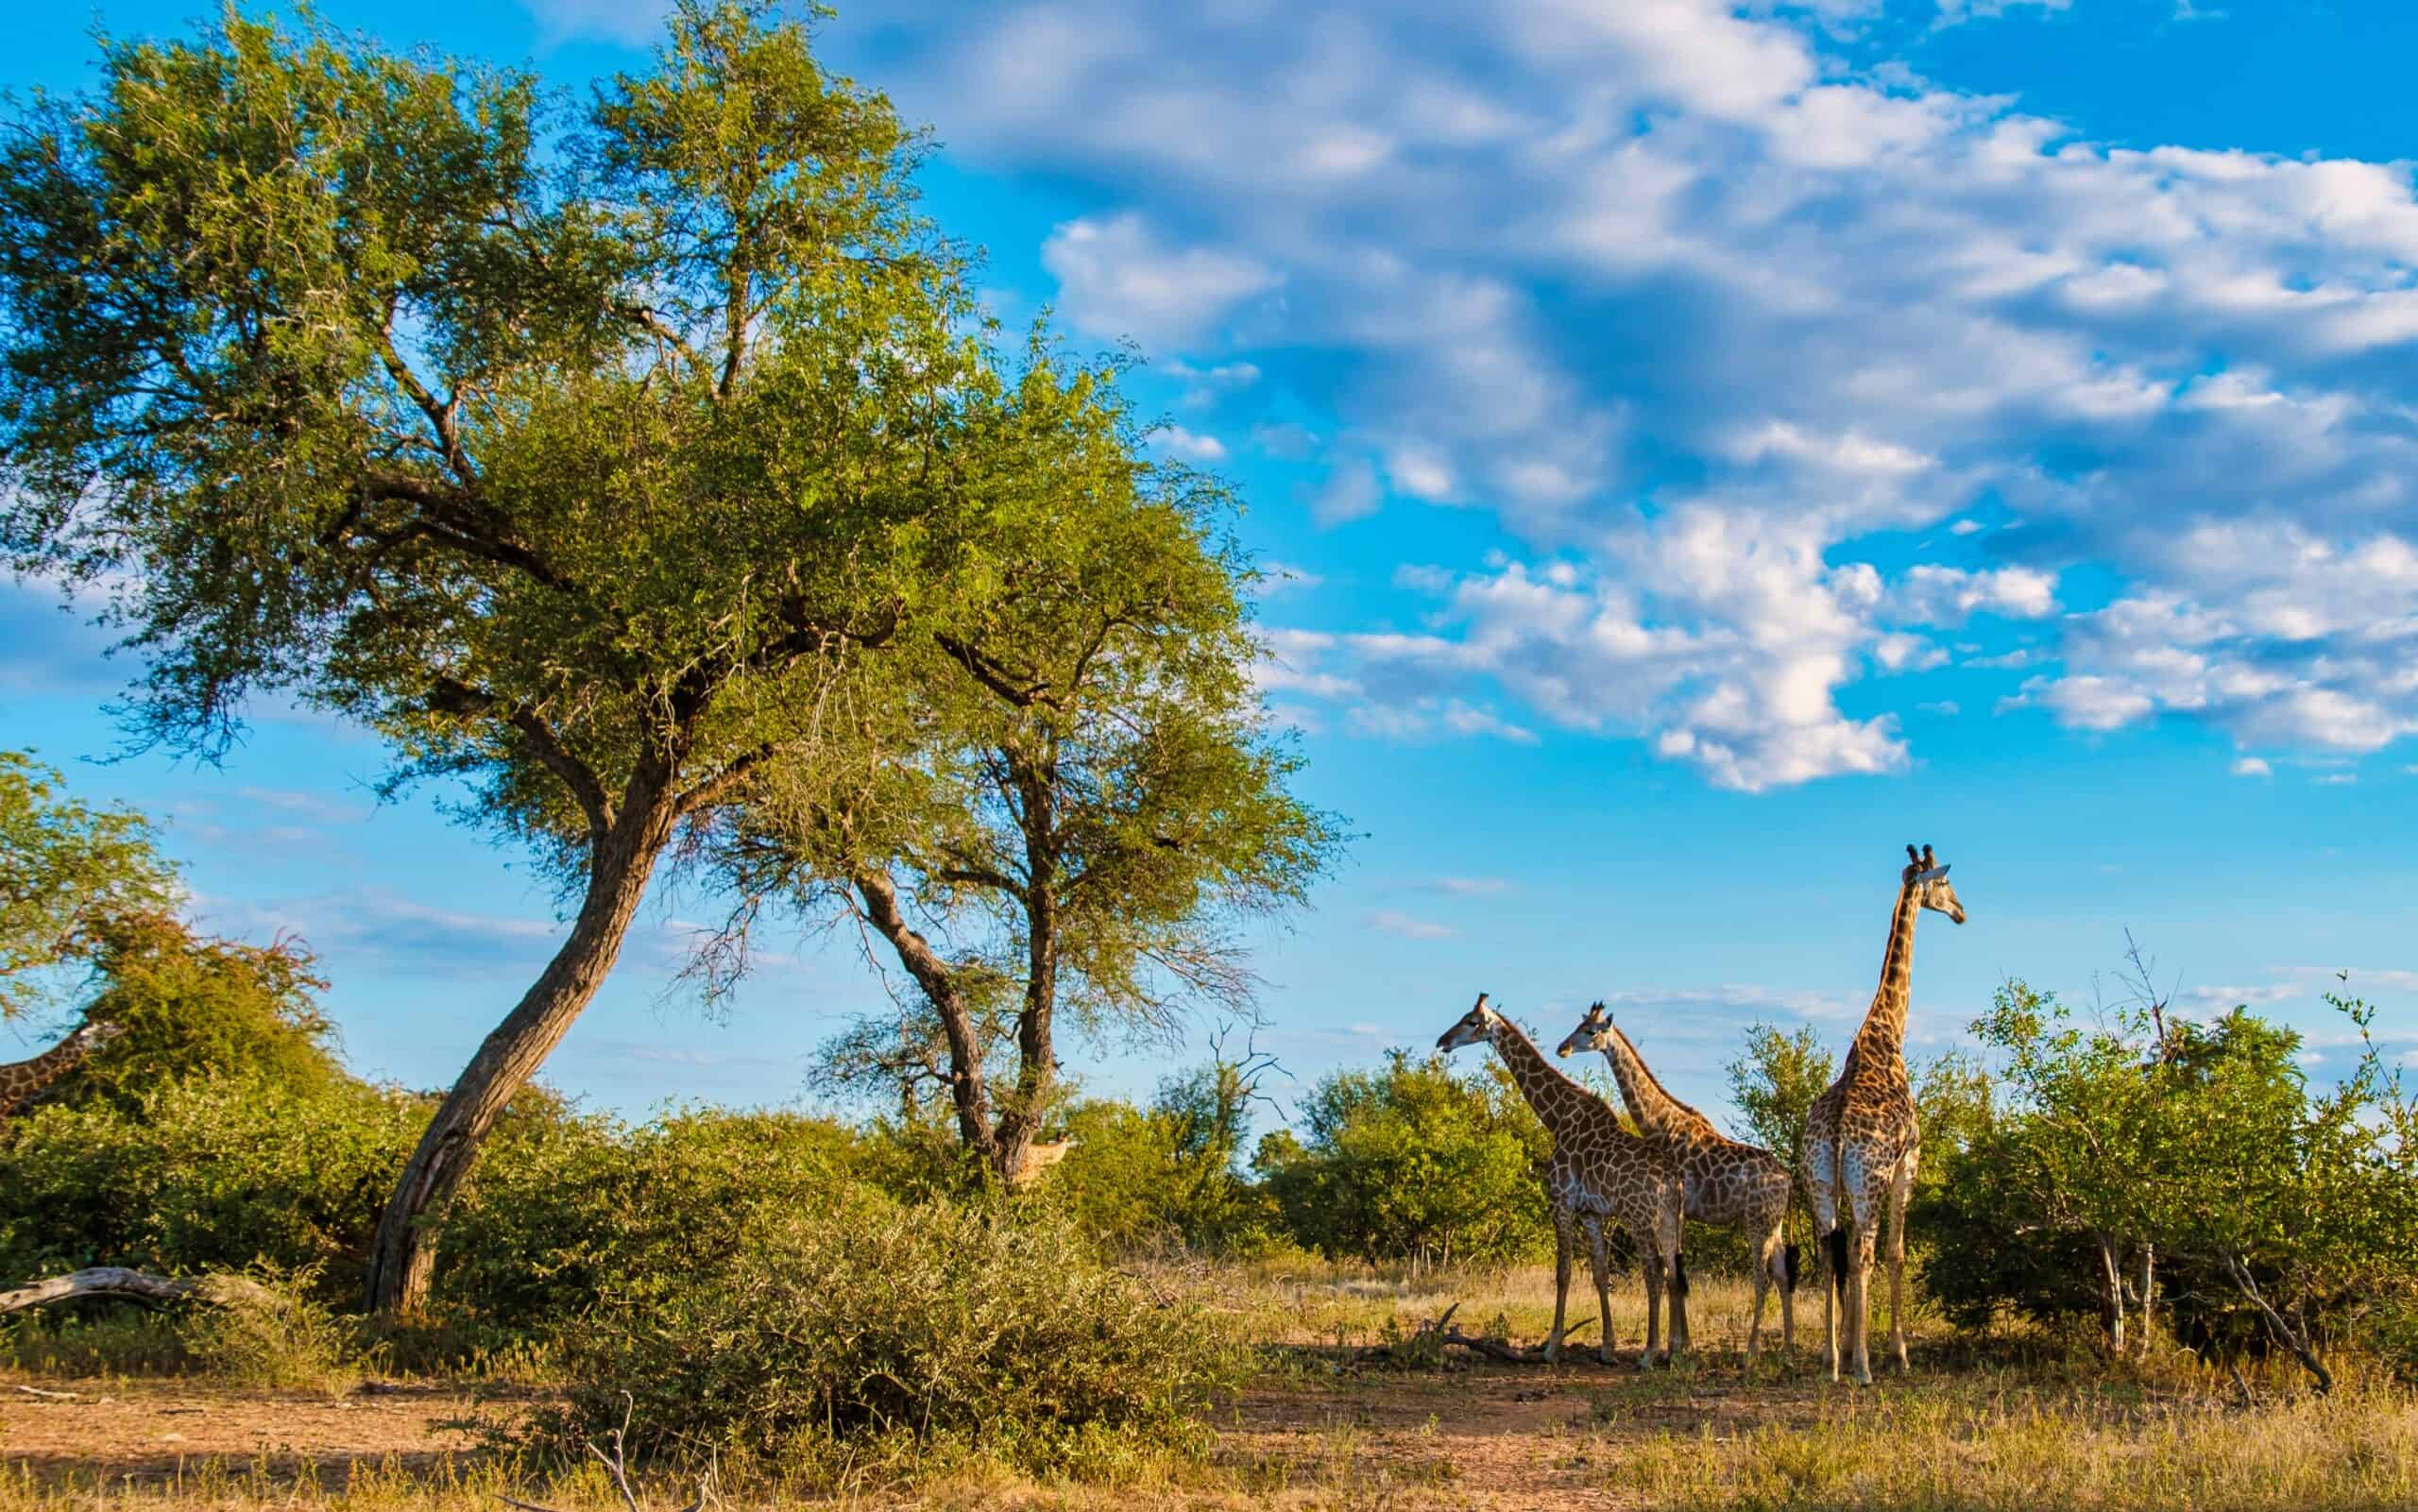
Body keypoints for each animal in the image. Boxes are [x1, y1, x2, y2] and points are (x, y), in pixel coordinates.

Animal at [1431, 992, 1682, 1364]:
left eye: (1471, 1021)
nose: (1442, 1041)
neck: (1557, 1117)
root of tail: (1672, 1180)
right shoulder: (1591, 1212)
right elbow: (1599, 1273)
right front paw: (1607, 1349)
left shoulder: (1560, 1201)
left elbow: (1563, 1273)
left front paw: (1551, 1346)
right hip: (1668, 1217)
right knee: (1673, 1270)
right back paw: (1672, 1352)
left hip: (1639, 1216)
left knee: (1654, 1271)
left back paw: (1649, 1353)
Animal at [1557, 1001, 1808, 1364]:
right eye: (1578, 1026)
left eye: (1590, 1031)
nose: (1562, 1048)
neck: (1661, 1124)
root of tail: (1788, 1180)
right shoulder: (1681, 1211)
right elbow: (1677, 1265)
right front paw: (1682, 1345)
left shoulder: (1679, 1206)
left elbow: (1674, 1266)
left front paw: (1676, 1346)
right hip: (1772, 1222)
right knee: (1782, 1272)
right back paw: (1787, 1349)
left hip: (1756, 1221)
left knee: (1761, 1276)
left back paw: (1750, 1351)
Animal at [1798, 841, 1963, 1384]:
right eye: (1945, 883)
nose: (1961, 912)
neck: (1887, 1032)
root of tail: (1835, 1135)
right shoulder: (1909, 1163)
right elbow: (1897, 1253)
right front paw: (1897, 1353)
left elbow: (1845, 1255)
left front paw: (1847, 1348)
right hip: (1868, 1181)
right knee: (1864, 1254)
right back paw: (1865, 1367)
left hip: (1820, 1181)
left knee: (1830, 1253)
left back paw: (1831, 1362)